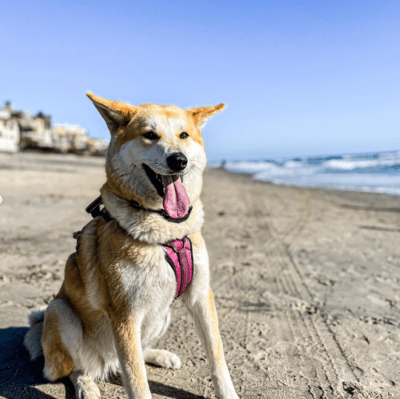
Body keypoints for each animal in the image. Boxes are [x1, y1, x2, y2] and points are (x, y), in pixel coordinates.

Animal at [24, 94, 241, 399]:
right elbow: (137, 382)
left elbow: (217, 356)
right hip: (60, 312)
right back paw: (87, 386)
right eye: (149, 135)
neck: (166, 234)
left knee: (137, 351)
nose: (179, 160)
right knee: (74, 369)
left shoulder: (200, 295)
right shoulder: (126, 315)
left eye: (184, 135)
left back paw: (160, 355)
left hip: (162, 315)